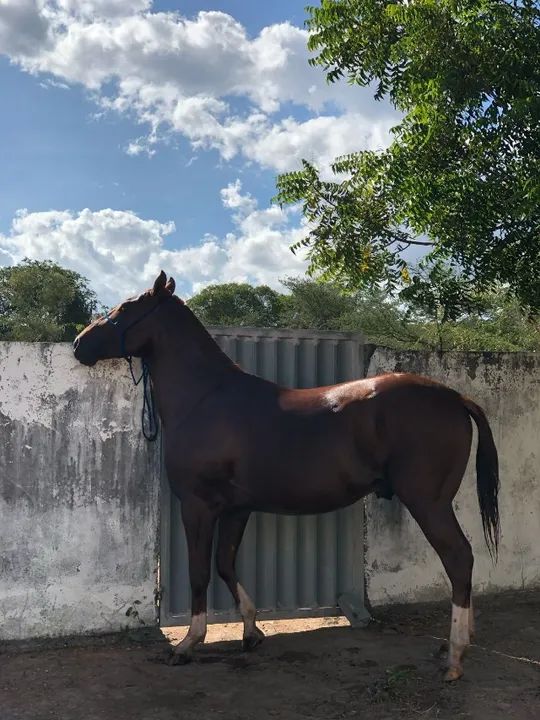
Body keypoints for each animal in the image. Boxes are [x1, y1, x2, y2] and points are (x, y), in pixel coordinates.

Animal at [73, 271, 500, 682]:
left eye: (125, 308)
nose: (79, 343)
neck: (205, 397)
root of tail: (455, 397)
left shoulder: (197, 506)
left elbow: (199, 573)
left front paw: (189, 643)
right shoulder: (236, 509)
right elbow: (225, 564)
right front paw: (251, 632)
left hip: (429, 503)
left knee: (459, 558)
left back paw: (454, 657)